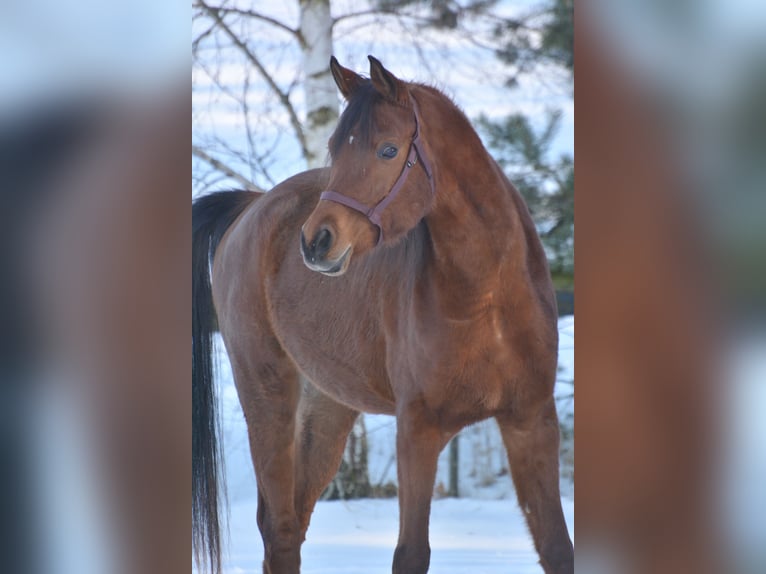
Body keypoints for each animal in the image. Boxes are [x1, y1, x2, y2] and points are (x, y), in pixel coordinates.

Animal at [192, 56, 573, 574]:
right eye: (335, 148)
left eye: (389, 150)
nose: (316, 242)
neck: (486, 295)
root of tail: (251, 206)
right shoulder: (417, 430)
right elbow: (411, 554)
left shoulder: (531, 422)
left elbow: (557, 546)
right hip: (266, 393)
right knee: (282, 526)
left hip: (328, 405)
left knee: (290, 524)